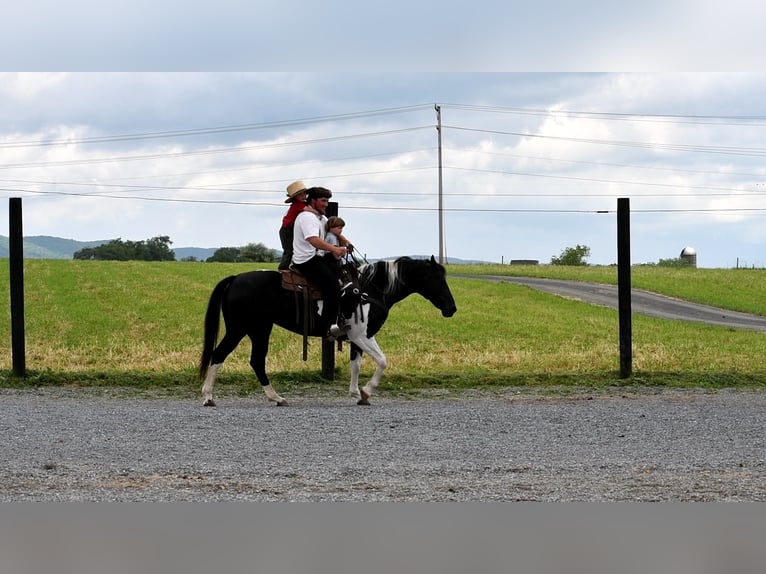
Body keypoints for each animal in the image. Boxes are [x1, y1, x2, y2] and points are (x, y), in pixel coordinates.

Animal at [201, 256, 460, 410]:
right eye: (437, 279)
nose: (451, 308)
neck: (369, 290)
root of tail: (235, 278)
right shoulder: (362, 336)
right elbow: (383, 361)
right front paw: (367, 390)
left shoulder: (358, 338)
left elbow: (356, 365)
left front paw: (357, 394)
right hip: (242, 328)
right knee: (222, 355)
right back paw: (209, 397)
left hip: (259, 329)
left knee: (254, 361)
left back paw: (274, 397)